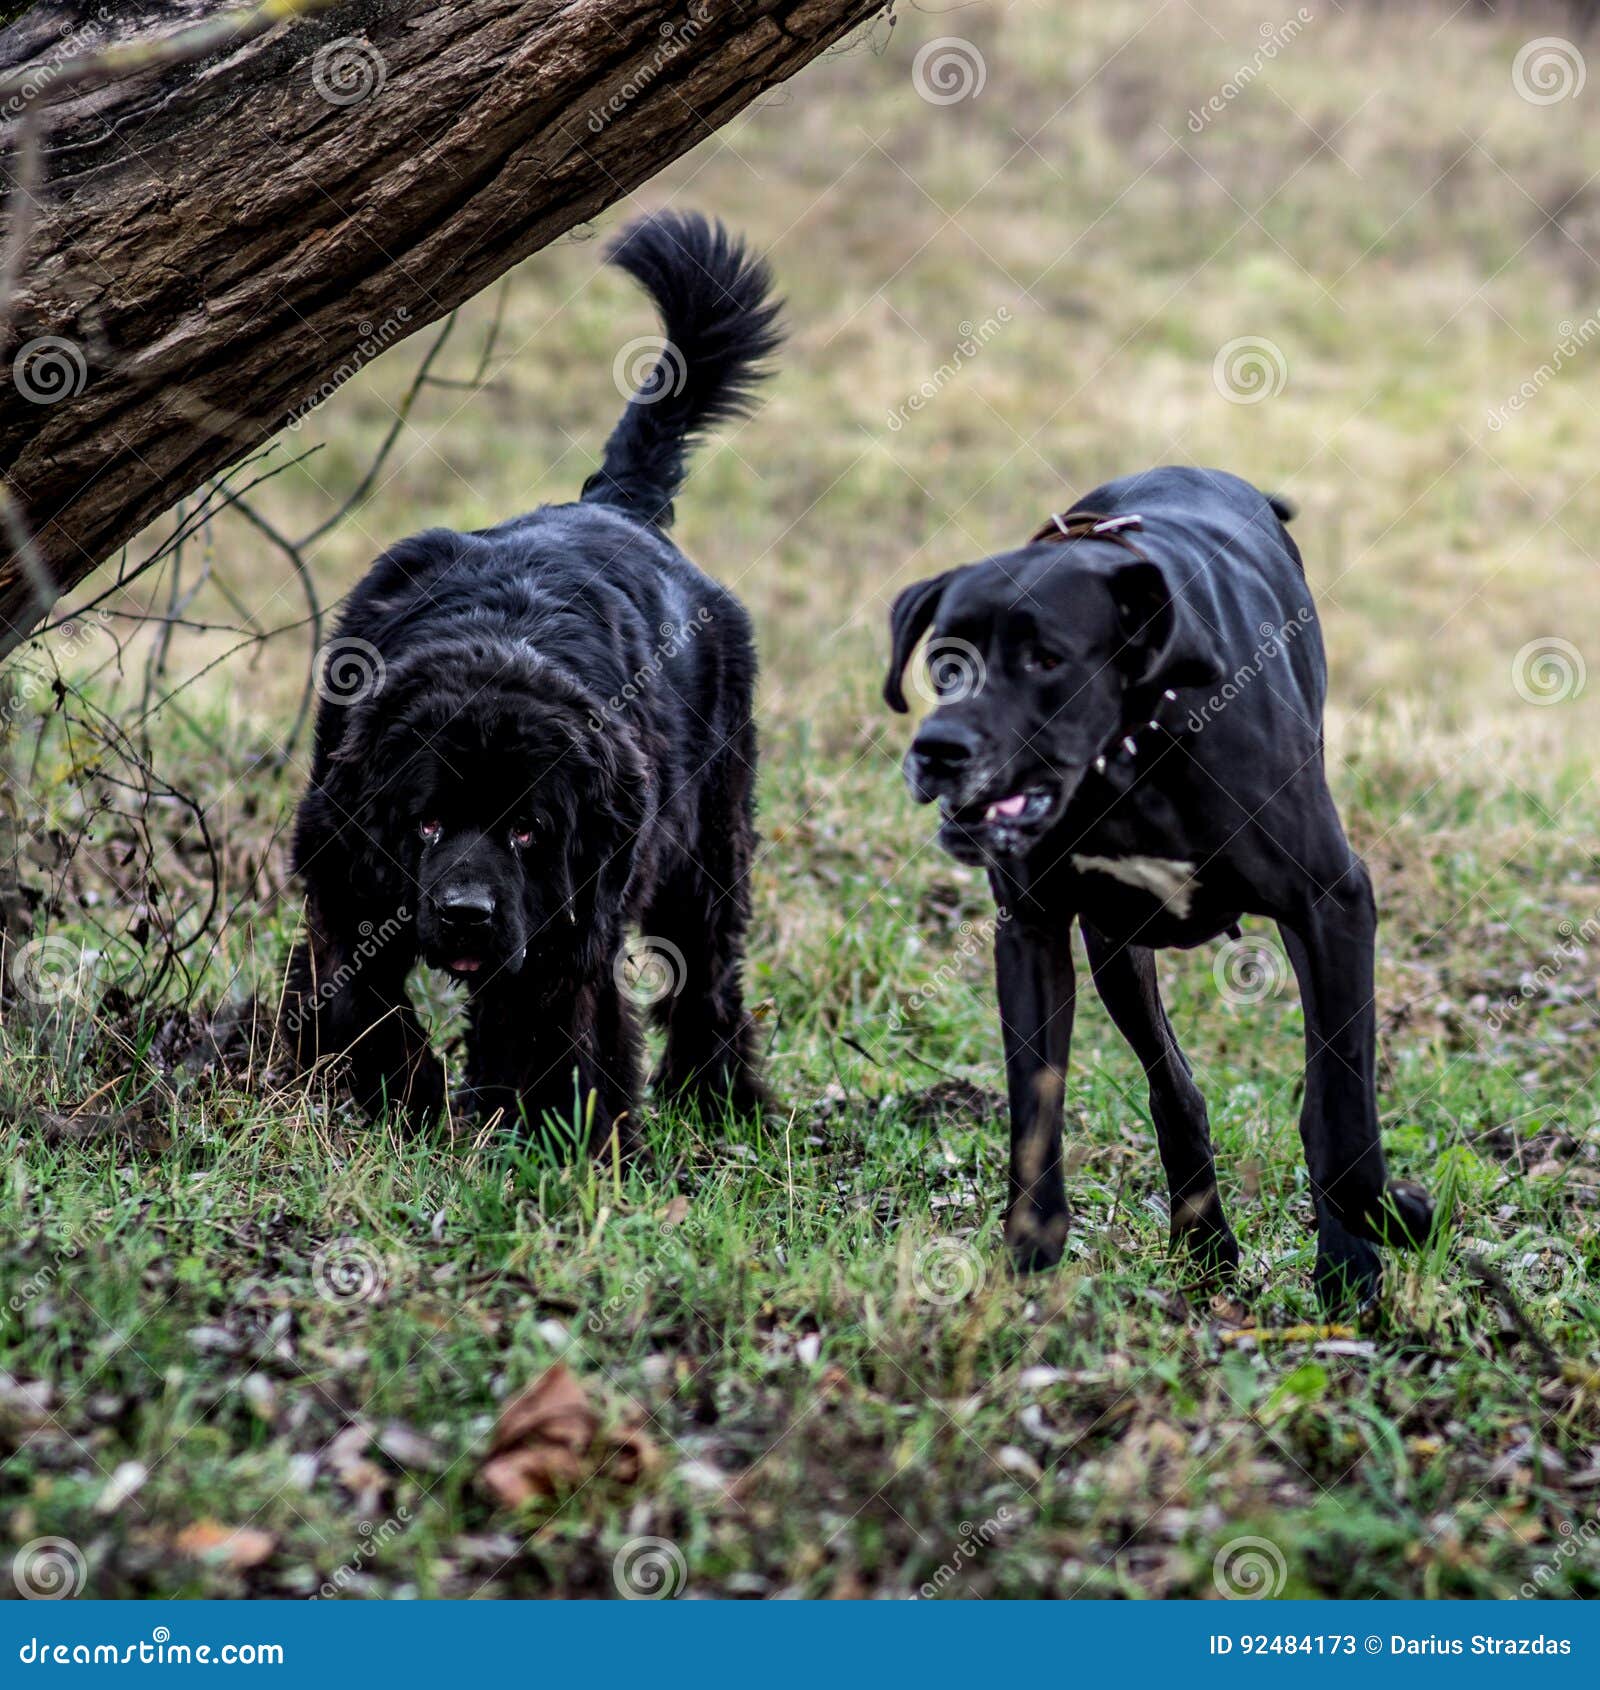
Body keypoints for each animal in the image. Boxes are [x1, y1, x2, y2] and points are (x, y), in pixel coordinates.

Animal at [290, 211, 790, 1149]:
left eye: (528, 832)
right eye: (427, 822)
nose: (466, 914)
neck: (499, 644)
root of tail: (615, 505)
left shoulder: (576, 917)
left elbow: (565, 1029)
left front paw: (566, 1139)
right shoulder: (341, 866)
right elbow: (361, 997)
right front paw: (402, 1097)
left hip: (708, 844)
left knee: (708, 971)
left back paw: (719, 1099)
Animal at [885, 466, 1439, 1304]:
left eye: (1046, 660)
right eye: (945, 663)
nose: (937, 750)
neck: (1133, 753)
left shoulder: (1334, 905)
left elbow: (1340, 1116)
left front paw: (1376, 1233)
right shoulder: (1033, 930)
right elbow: (1033, 1107)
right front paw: (1029, 1262)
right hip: (1116, 948)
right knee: (1173, 1086)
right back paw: (1205, 1242)